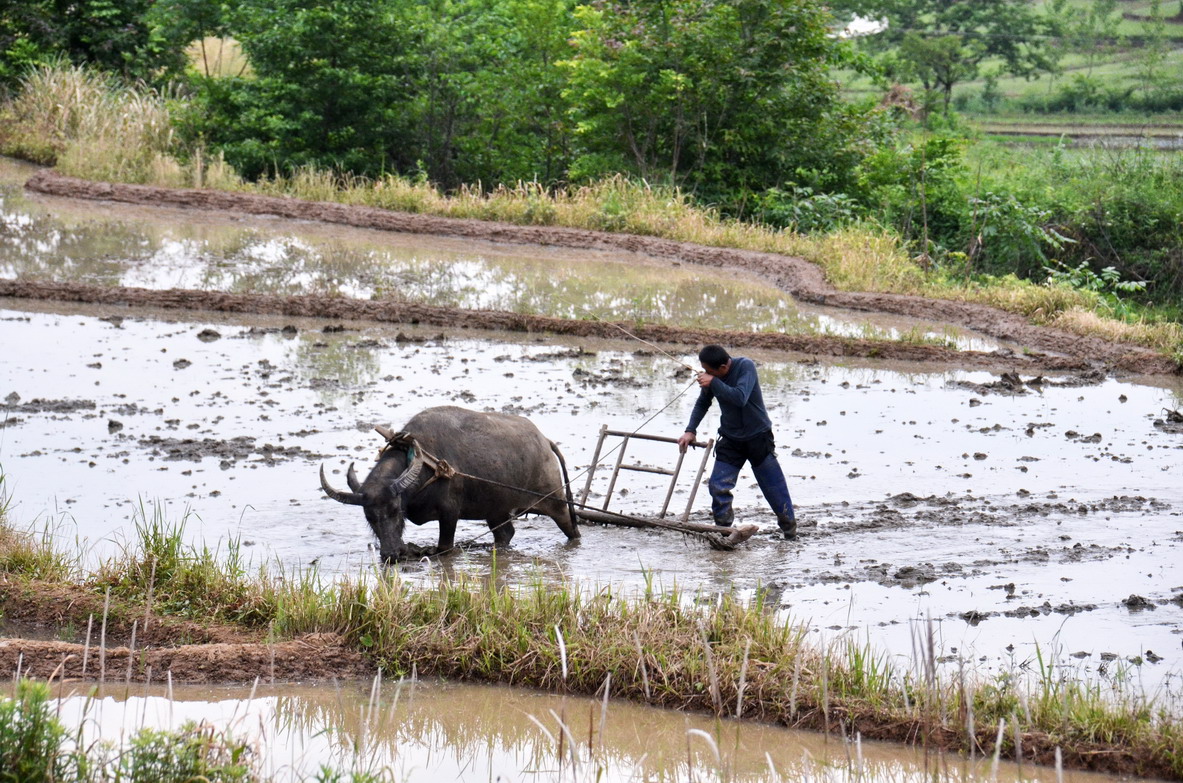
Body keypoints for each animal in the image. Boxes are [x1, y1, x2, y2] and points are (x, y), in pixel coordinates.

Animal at [319, 406, 577, 560]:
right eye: (369, 516)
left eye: (395, 510)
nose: (391, 554)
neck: (423, 462)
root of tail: (544, 441)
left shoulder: (449, 514)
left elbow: (444, 547)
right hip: (496, 511)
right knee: (505, 533)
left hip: (556, 503)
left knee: (571, 529)